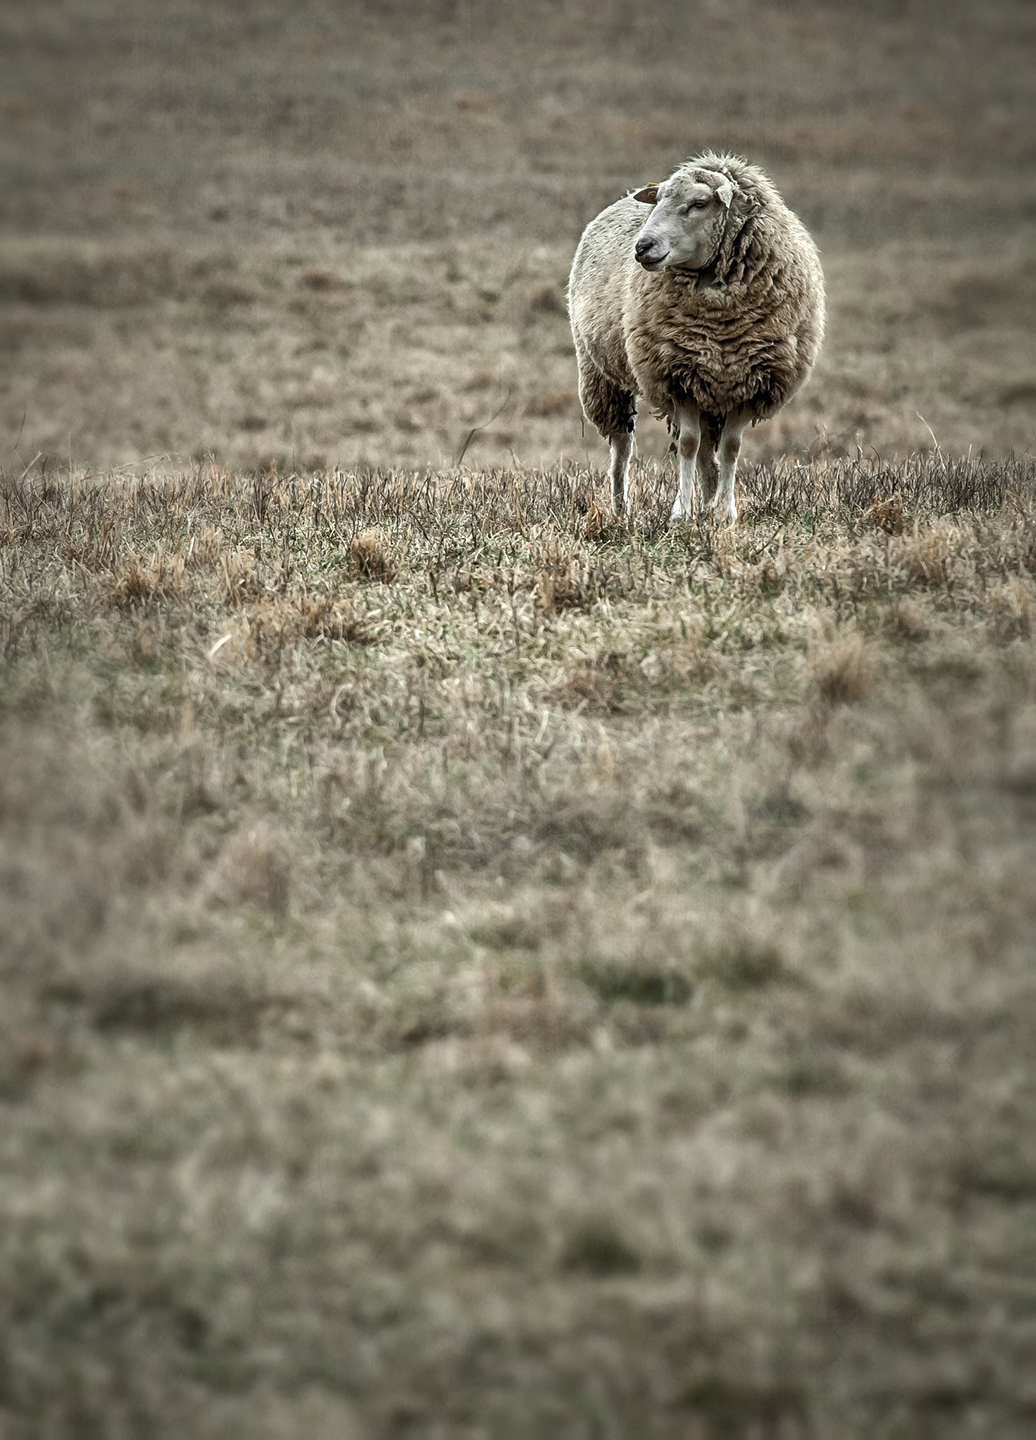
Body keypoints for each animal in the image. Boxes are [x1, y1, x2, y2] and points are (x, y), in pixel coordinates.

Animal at [567, 152, 825, 521]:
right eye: (659, 199)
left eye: (699, 203)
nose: (642, 247)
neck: (720, 320)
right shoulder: (678, 378)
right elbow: (688, 446)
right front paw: (681, 515)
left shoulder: (751, 382)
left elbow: (730, 448)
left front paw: (726, 513)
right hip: (603, 377)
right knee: (623, 447)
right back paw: (621, 507)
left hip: (710, 391)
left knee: (707, 452)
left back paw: (705, 504)